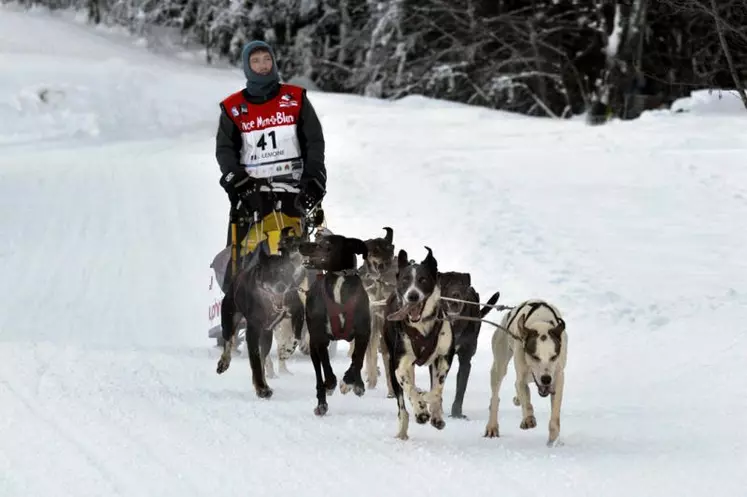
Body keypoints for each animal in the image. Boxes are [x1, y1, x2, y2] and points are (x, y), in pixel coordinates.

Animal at [216, 238, 304, 398]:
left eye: (285, 271)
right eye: (271, 272)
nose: (281, 287)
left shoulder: (298, 312)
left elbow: (296, 337)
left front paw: (287, 351)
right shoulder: (253, 330)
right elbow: (255, 361)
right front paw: (261, 388)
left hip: (266, 335)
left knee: (264, 358)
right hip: (229, 319)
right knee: (228, 340)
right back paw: (224, 362)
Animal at [300, 232, 372, 414]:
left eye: (325, 244)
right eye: (317, 239)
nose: (300, 245)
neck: (340, 276)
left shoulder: (363, 333)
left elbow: (358, 359)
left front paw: (350, 381)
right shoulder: (320, 338)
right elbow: (326, 365)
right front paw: (331, 383)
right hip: (312, 344)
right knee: (319, 374)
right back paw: (322, 401)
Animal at [442, 272, 500, 418]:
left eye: (462, 284)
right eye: (447, 284)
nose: (455, 294)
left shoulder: (465, 359)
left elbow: (460, 389)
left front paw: (457, 414)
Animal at [482, 298, 568, 446]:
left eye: (553, 357)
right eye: (535, 356)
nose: (546, 379)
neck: (540, 321)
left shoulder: (558, 378)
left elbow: (555, 414)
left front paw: (553, 440)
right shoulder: (521, 377)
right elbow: (525, 397)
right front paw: (529, 418)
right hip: (499, 365)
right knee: (495, 397)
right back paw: (492, 426)